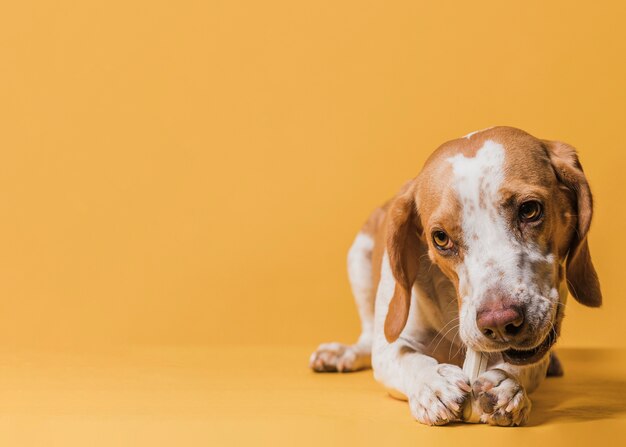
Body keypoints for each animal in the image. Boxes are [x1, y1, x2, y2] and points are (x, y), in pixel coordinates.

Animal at [308, 126, 600, 428]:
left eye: (530, 210)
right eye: (440, 238)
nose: (499, 323)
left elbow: (527, 366)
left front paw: (507, 385)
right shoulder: (389, 348)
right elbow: (410, 360)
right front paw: (432, 383)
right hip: (358, 258)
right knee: (366, 336)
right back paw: (343, 353)